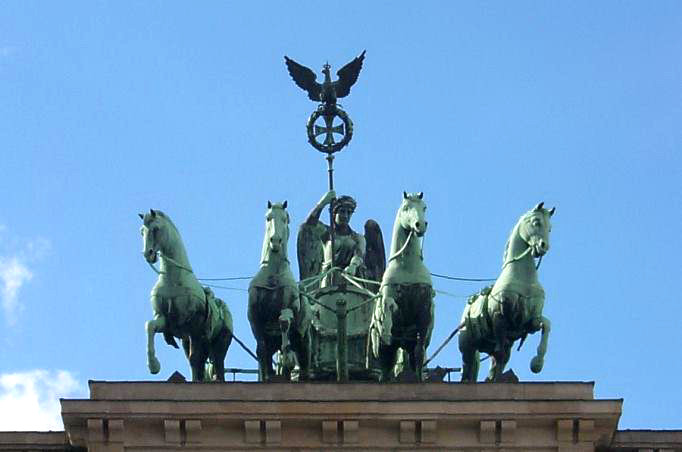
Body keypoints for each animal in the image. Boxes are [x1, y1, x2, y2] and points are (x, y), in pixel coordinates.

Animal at [139, 209, 232, 382]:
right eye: (141, 231)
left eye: (156, 229)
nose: (148, 254)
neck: (173, 279)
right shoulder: (166, 321)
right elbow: (150, 326)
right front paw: (153, 365)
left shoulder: (193, 327)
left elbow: (195, 358)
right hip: (187, 341)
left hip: (220, 344)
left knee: (217, 364)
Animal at [248, 201, 312, 382]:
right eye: (268, 217)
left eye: (285, 219)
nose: (275, 240)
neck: (272, 275)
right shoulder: (254, 316)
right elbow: (261, 350)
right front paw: (268, 374)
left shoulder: (289, 308)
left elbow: (284, 323)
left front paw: (287, 361)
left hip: (302, 338)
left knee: (303, 358)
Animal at [370, 191, 432, 382]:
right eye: (406, 207)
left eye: (424, 207)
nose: (420, 225)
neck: (408, 266)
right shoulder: (390, 297)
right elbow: (389, 306)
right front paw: (386, 328)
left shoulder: (424, 313)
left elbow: (419, 353)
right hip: (384, 352)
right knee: (385, 369)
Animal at [460, 203, 556, 384]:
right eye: (536, 222)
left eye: (550, 228)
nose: (543, 246)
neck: (523, 278)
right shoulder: (499, 317)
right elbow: (500, 353)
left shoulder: (531, 321)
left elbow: (546, 325)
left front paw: (537, 363)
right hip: (467, 346)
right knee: (469, 367)